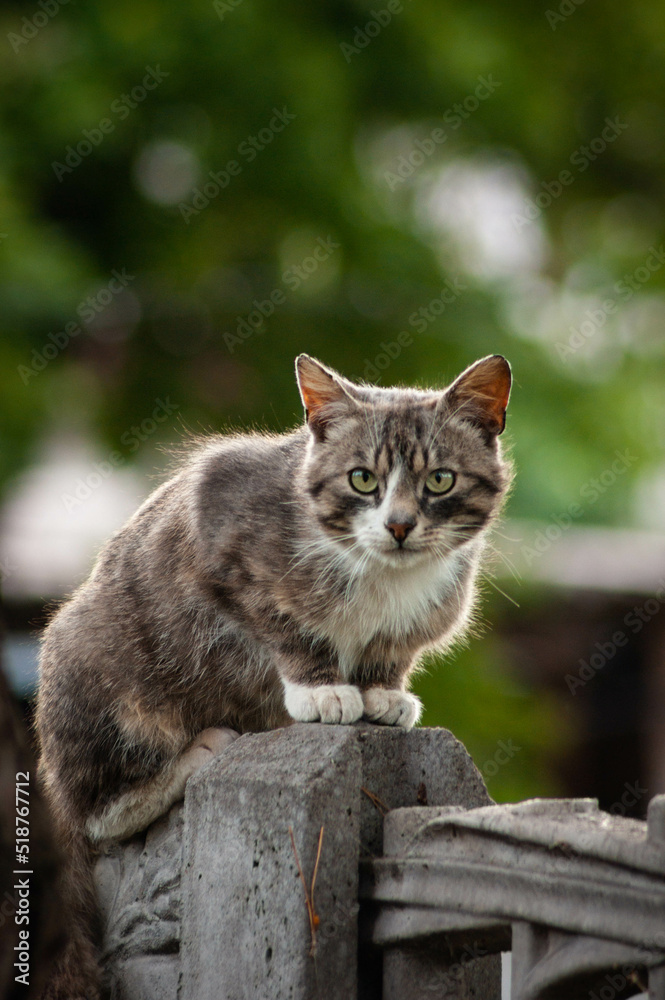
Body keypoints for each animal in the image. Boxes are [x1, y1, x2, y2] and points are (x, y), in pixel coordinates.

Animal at [33, 350, 510, 992]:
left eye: (441, 480)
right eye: (362, 479)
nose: (399, 525)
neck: (382, 576)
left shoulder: (420, 615)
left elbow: (390, 649)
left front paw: (382, 692)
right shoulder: (222, 538)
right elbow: (285, 623)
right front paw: (324, 690)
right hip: (97, 665)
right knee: (98, 813)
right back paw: (192, 757)